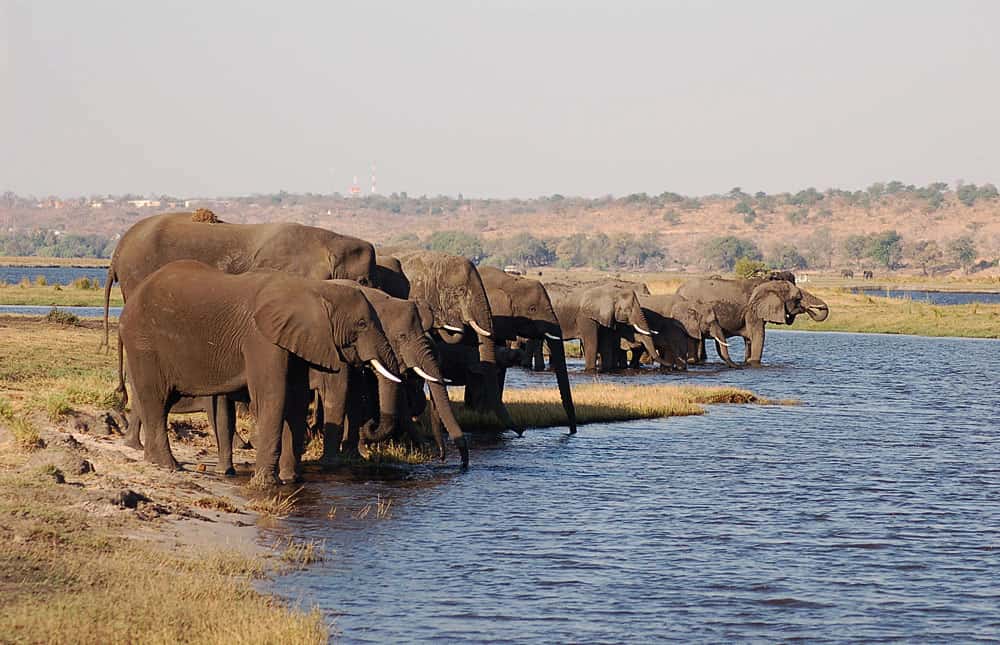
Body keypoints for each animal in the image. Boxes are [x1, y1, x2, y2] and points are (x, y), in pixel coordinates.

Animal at [119, 260, 403, 485]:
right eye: (362, 324)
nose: (369, 425)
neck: (312, 289)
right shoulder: (261, 339)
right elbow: (273, 396)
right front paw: (266, 484)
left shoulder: (294, 339)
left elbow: (295, 400)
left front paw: (290, 480)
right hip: (143, 342)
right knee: (156, 400)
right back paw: (169, 466)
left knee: (159, 403)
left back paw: (155, 461)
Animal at [675, 275, 830, 366]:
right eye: (797, 298)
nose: (809, 308)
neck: (769, 284)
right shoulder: (752, 310)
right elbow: (757, 334)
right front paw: (754, 363)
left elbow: (749, 338)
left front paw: (747, 361)